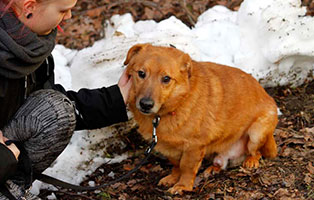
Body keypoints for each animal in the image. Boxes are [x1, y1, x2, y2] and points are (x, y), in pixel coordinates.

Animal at [124, 43, 278, 194]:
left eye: (166, 79)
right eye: (141, 74)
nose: (145, 104)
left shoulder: (194, 146)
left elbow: (186, 167)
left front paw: (183, 186)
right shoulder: (170, 148)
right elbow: (176, 165)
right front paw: (173, 178)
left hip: (256, 133)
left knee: (257, 152)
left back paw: (251, 161)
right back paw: (213, 168)